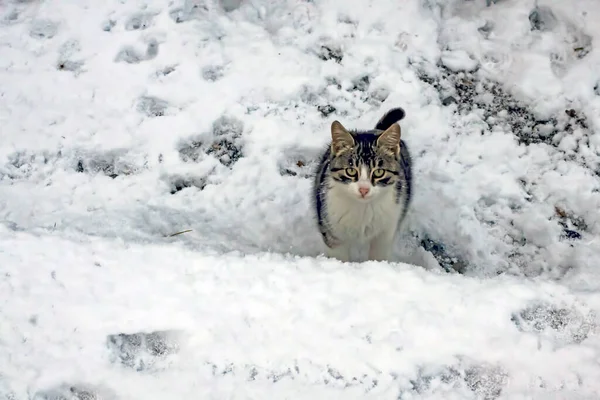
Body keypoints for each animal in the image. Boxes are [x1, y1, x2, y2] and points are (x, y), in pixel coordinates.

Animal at [312, 107, 410, 262]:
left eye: (379, 172)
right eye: (351, 170)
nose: (363, 189)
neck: (363, 209)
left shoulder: (386, 230)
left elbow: (379, 255)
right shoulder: (332, 230)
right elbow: (339, 256)